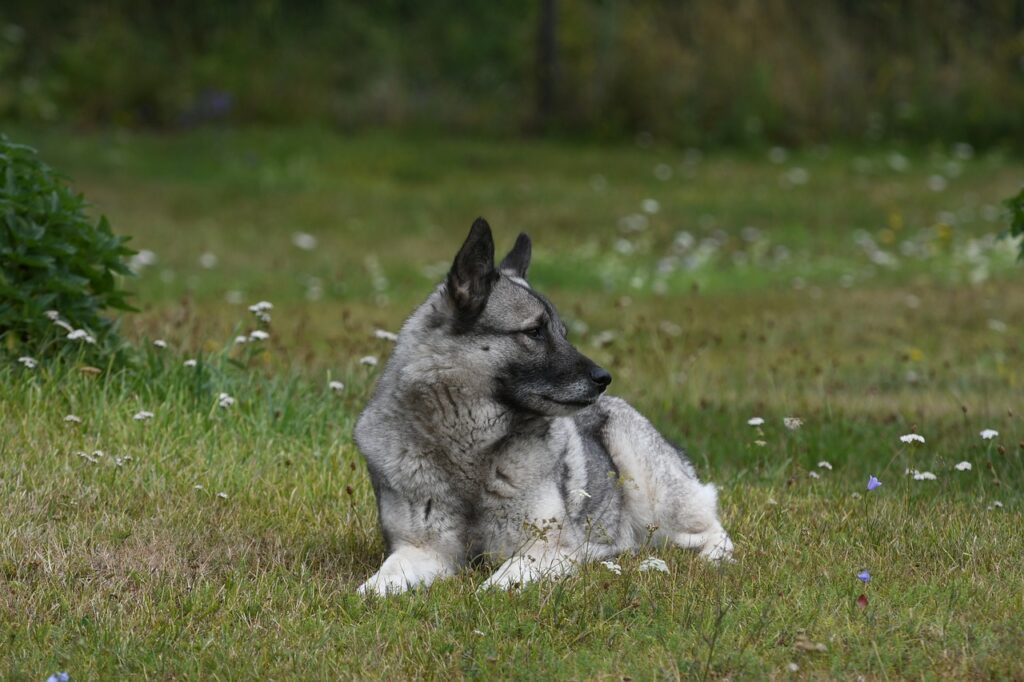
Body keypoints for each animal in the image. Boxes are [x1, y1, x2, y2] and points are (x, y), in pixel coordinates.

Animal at [356, 219, 733, 593]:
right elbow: (375, 587)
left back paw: (712, 558)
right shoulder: (421, 550)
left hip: (654, 493)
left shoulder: (546, 550)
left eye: (562, 332)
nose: (604, 377)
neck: (470, 451)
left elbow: (494, 585)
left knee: (711, 530)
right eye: (535, 331)